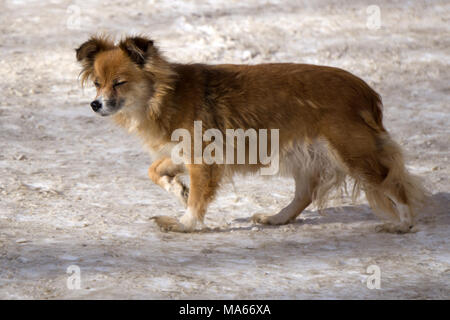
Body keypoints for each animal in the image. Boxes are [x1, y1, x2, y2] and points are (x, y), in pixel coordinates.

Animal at [75, 35, 428, 232]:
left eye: (119, 83)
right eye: (97, 83)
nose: (94, 104)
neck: (162, 95)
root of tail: (365, 91)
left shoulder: (204, 159)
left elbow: (198, 200)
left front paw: (186, 223)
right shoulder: (183, 151)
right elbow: (155, 170)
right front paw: (179, 190)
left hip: (352, 151)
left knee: (393, 182)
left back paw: (404, 223)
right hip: (303, 153)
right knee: (305, 194)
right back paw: (277, 218)